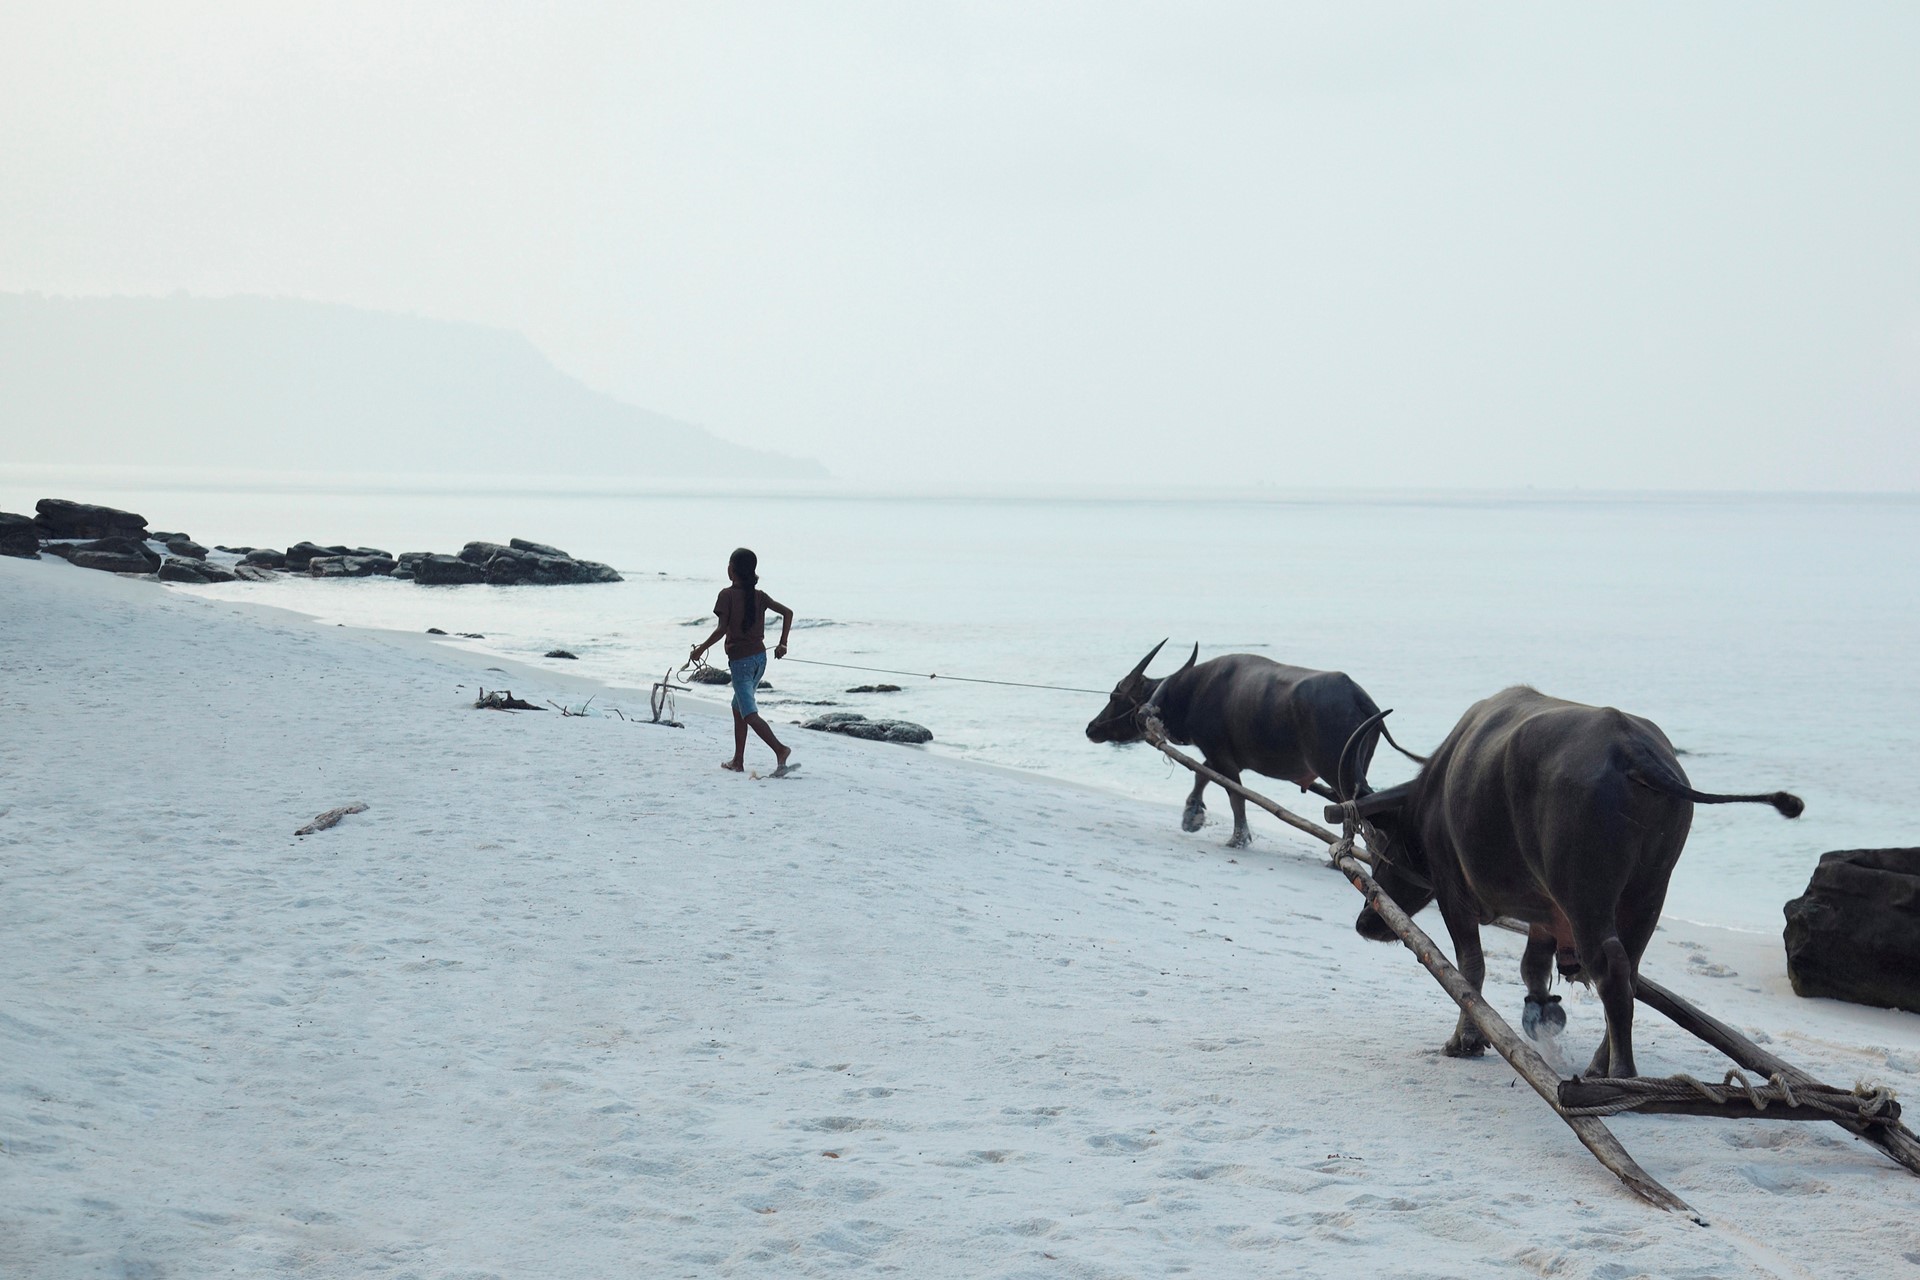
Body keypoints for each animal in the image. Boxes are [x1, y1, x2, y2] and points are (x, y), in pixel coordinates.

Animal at [1086, 640, 1422, 847]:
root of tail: (1358, 695)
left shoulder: (1221, 755)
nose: (1091, 728)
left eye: (1115, 696)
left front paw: (1238, 837)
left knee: (1359, 806)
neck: (1192, 690)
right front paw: (1192, 815)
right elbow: (1203, 776)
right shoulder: (1221, 754)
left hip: (1338, 769)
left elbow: (1234, 794)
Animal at [1332, 685, 1802, 1078]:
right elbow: (1533, 967)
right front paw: (1540, 1012)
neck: (1433, 795)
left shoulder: (1453, 892)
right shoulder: (1546, 913)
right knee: (1629, 973)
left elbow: (1471, 969)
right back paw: (1600, 1063)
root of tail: (1633, 752)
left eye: (1382, 845)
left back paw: (1620, 1072)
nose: (1366, 923)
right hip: (1649, 892)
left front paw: (1464, 1041)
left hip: (1585, 896)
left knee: (1610, 969)